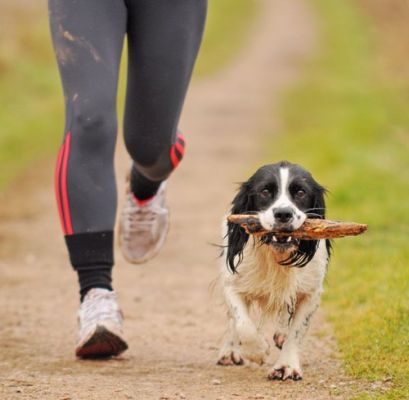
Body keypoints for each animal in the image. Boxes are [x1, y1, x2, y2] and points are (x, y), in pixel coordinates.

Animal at [218, 161, 330, 380]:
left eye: (301, 192)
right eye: (265, 191)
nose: (283, 214)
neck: (277, 256)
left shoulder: (311, 292)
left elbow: (297, 331)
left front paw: (286, 366)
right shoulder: (232, 284)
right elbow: (243, 324)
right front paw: (257, 351)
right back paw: (230, 351)